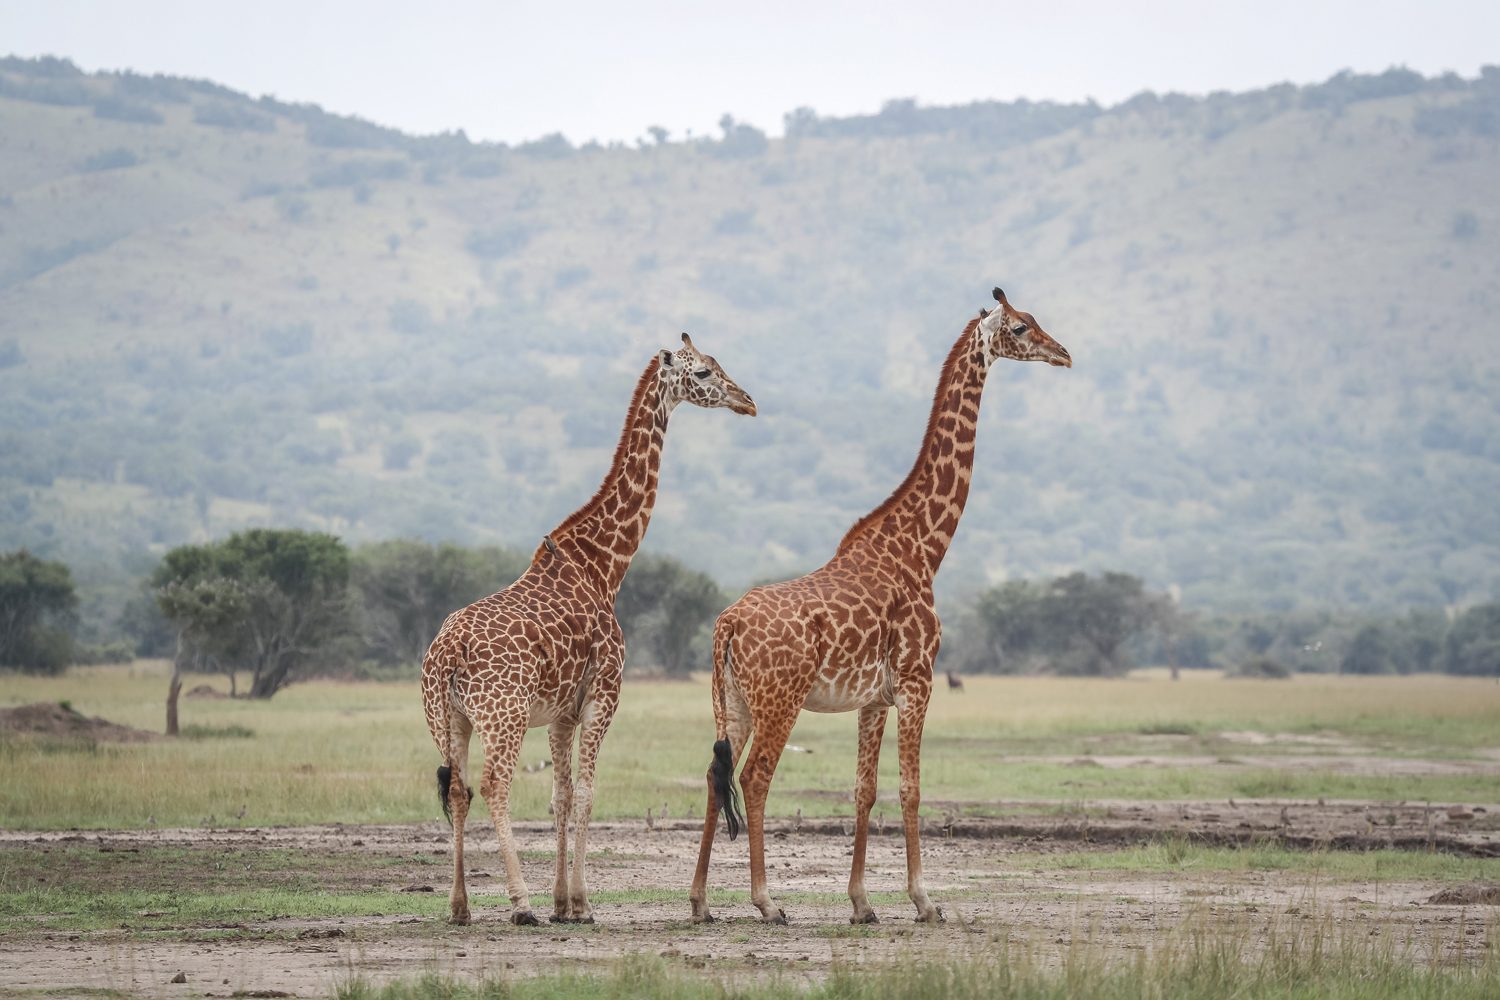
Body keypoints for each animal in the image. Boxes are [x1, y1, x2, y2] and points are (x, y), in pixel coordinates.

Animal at [420, 332, 750, 929]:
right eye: (705, 373)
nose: (747, 401)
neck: (604, 565)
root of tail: (448, 651)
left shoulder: (561, 711)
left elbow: (562, 795)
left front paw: (562, 903)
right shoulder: (604, 693)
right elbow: (590, 792)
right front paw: (579, 903)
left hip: (448, 718)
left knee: (457, 788)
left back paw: (460, 906)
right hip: (502, 715)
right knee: (494, 784)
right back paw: (519, 903)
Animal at [687, 287, 1074, 923]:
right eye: (1021, 328)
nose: (1063, 353)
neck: (922, 548)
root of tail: (727, 625)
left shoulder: (873, 698)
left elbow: (864, 790)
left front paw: (862, 903)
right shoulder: (919, 679)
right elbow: (911, 788)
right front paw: (924, 900)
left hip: (734, 703)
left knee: (715, 776)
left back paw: (698, 902)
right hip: (779, 700)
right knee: (757, 777)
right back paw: (767, 903)